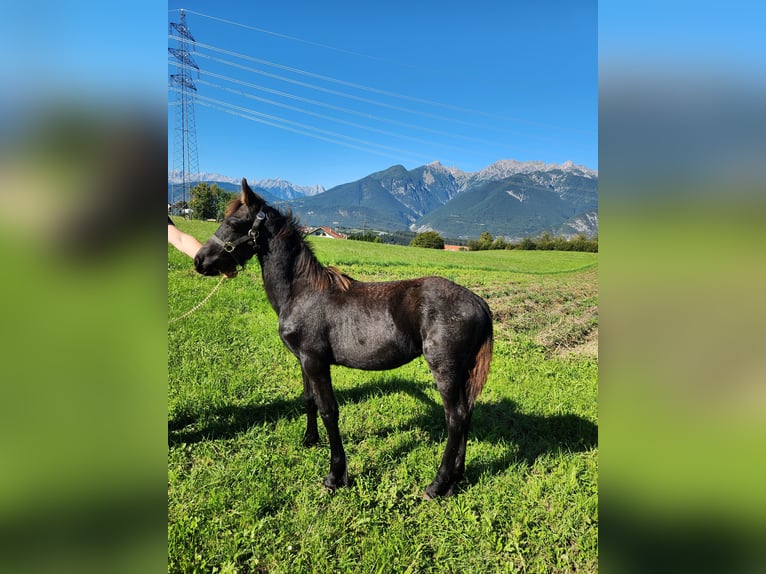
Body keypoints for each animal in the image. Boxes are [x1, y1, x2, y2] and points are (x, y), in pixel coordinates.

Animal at [194, 178, 493, 498]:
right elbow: (309, 400)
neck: (301, 292)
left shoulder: (316, 362)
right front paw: (309, 439)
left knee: (455, 418)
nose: (199, 260)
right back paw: (455, 480)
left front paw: (335, 475)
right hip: (462, 372)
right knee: (466, 414)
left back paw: (437, 484)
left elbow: (329, 411)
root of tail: (479, 303)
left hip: (445, 370)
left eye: (234, 223)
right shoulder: (303, 360)